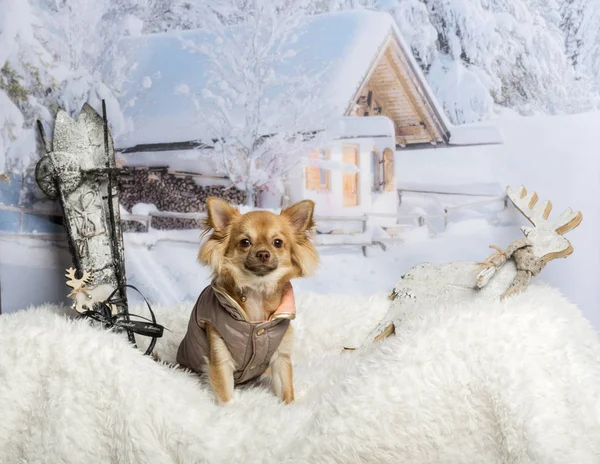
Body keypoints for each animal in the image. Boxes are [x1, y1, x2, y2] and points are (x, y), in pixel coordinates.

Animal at [178, 198, 318, 404]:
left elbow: (286, 391)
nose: (263, 253)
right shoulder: (220, 358)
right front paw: (229, 410)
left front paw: (290, 408)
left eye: (277, 243)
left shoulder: (280, 358)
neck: (257, 291)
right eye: (245, 242)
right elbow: (225, 397)